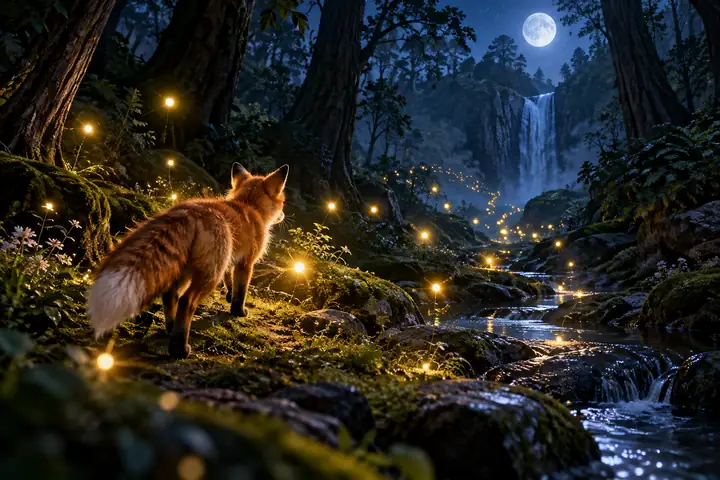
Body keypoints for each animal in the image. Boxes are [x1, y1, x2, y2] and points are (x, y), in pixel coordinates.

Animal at [87, 163, 289, 358]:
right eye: (283, 201)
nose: (283, 216)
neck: (248, 205)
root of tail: (190, 211)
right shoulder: (246, 263)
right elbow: (241, 292)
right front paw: (238, 311)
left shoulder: (230, 260)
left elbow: (230, 283)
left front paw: (228, 295)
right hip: (209, 274)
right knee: (186, 301)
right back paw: (179, 349)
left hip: (186, 270)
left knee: (169, 295)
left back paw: (171, 328)